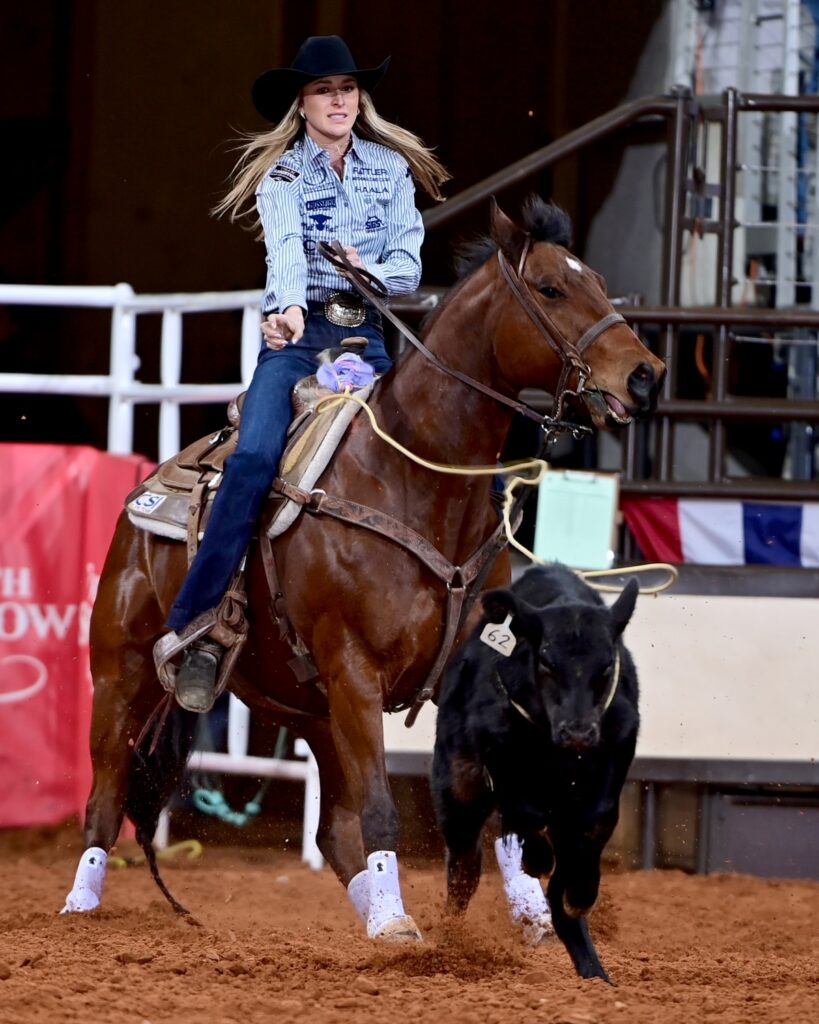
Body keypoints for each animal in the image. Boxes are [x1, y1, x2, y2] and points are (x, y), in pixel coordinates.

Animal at [432, 565, 642, 978]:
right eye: (547, 662)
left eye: (606, 666)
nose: (578, 732)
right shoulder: (496, 749)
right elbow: (525, 813)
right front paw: (537, 856)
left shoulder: (616, 751)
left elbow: (594, 825)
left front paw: (582, 892)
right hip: (459, 793)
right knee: (464, 867)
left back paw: (593, 970)